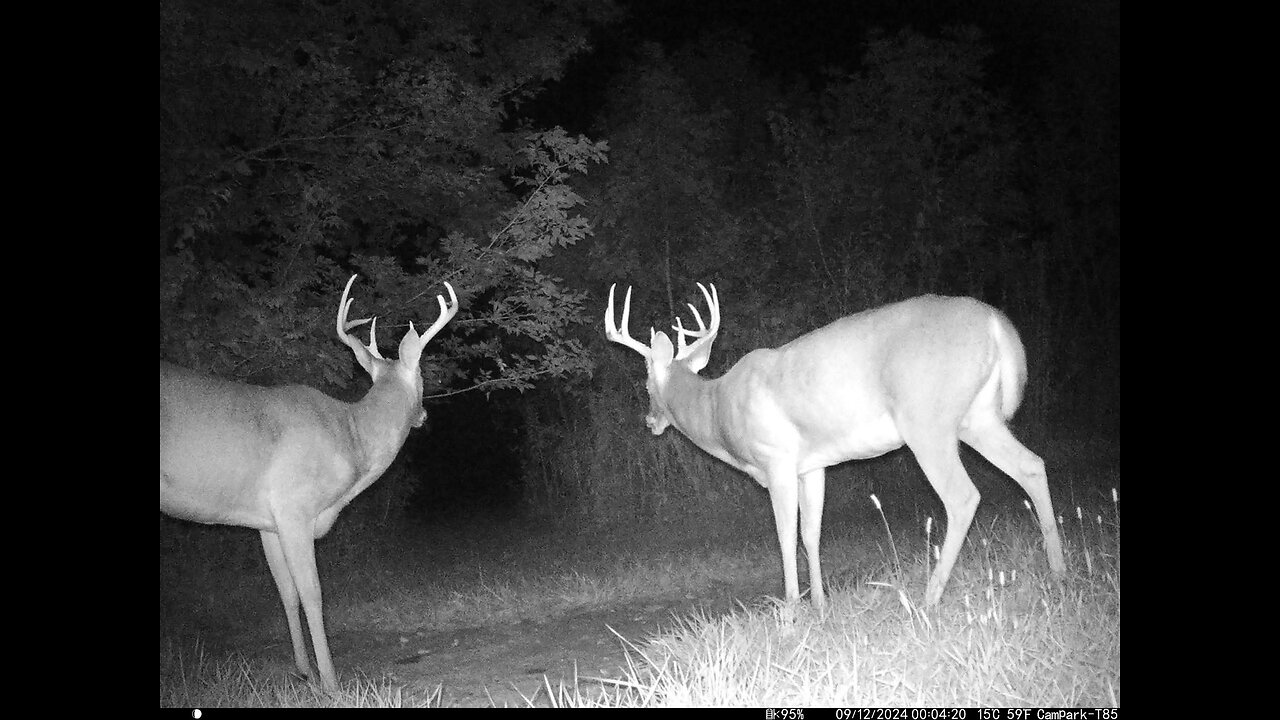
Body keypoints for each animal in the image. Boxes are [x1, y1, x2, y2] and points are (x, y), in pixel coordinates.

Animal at [159, 274, 458, 691]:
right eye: (422, 375)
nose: (424, 415)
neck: (349, 437)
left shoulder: (267, 523)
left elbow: (287, 593)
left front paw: (303, 669)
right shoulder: (294, 506)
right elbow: (313, 594)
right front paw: (330, 680)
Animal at [605, 282, 1065, 608]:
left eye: (646, 385)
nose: (649, 421)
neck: (719, 410)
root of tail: (996, 324)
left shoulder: (776, 459)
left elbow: (785, 534)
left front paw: (791, 608)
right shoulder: (813, 466)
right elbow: (811, 533)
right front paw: (821, 604)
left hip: (927, 419)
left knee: (963, 496)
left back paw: (930, 597)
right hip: (978, 417)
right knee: (1032, 464)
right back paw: (1059, 572)